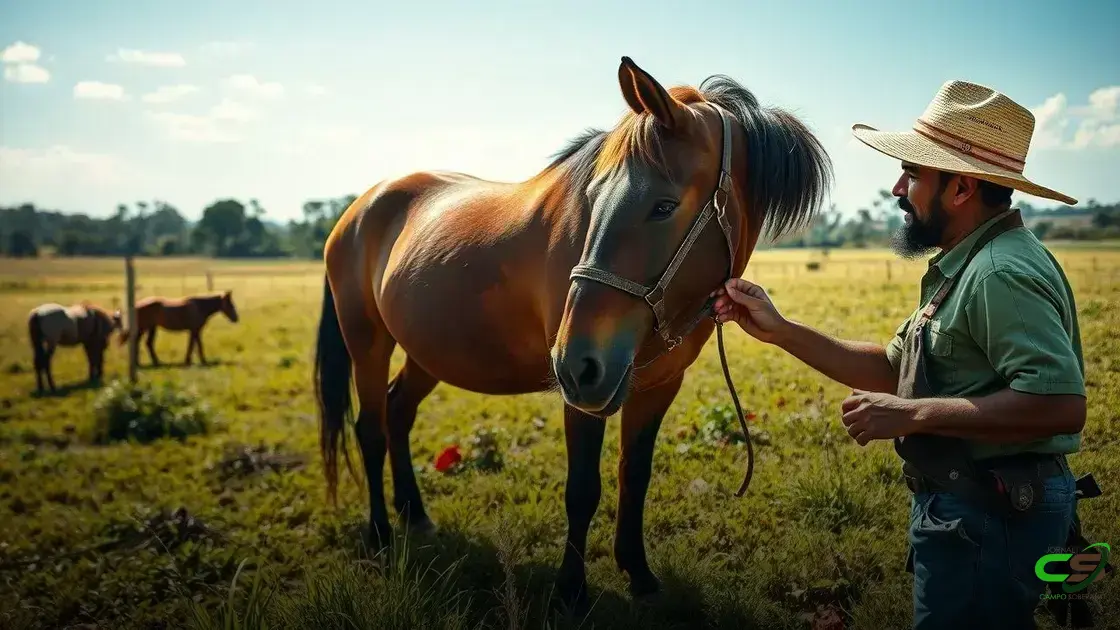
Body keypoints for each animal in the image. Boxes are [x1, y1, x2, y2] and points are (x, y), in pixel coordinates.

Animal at [313, 56, 831, 605]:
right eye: (594, 200)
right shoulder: (582, 392)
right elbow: (582, 490)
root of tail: (360, 207)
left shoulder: (658, 385)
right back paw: (380, 536)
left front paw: (639, 574)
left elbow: (634, 476)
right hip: (367, 342)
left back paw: (415, 515)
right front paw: (571, 591)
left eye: (664, 205)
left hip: (428, 353)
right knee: (369, 430)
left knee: (398, 412)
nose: (575, 361)